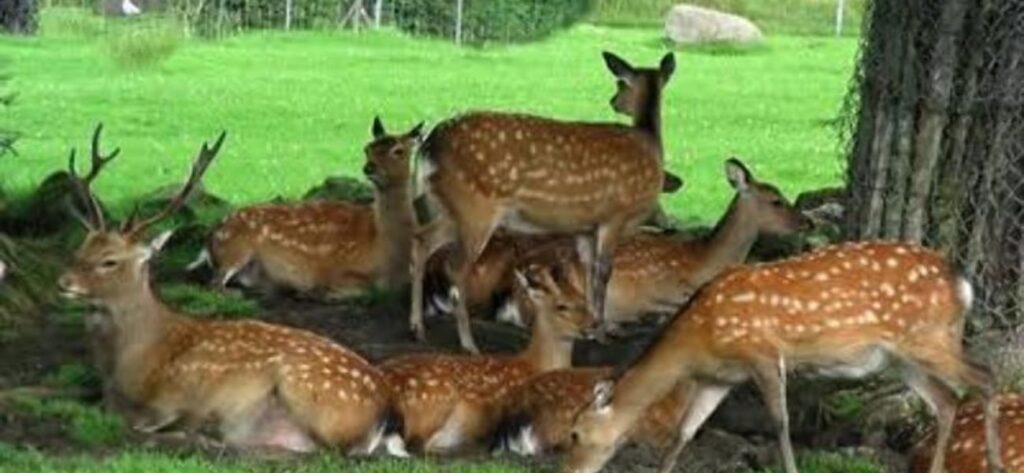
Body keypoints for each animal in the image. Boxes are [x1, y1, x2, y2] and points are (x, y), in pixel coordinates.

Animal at [57, 124, 401, 455]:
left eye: (110, 260)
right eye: (81, 248)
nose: (63, 282)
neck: (132, 362)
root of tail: (382, 412)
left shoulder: (175, 397)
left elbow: (145, 424)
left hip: (308, 391)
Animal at [195, 117, 421, 298]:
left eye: (399, 151)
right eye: (367, 148)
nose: (369, 167)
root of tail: (212, 234)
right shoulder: (339, 269)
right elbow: (358, 288)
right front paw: (313, 292)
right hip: (236, 248)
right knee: (214, 286)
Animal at [380, 263, 598, 454]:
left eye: (584, 299)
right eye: (562, 306)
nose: (595, 324)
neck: (534, 364)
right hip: (434, 405)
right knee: (417, 445)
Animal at [409, 50, 676, 353]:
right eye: (620, 83)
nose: (613, 101)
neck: (650, 145)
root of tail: (428, 146)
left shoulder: (586, 227)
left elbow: (588, 272)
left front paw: (594, 326)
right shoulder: (615, 216)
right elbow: (603, 272)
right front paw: (602, 331)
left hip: (450, 209)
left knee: (421, 241)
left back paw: (417, 328)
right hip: (475, 209)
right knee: (455, 267)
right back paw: (469, 344)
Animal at [563, 241, 1005, 473]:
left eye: (575, 434)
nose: (569, 470)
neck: (698, 339)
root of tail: (962, 283)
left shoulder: (762, 352)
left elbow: (780, 422)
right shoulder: (720, 377)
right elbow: (685, 431)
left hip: (928, 338)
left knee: (985, 376)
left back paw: (997, 461)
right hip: (901, 357)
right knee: (946, 399)